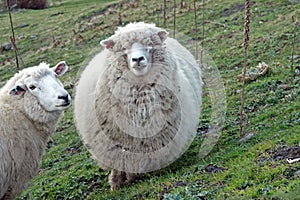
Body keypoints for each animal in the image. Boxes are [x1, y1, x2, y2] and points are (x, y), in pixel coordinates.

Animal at [74, 21, 203, 189]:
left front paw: (133, 177)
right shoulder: (113, 144)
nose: (138, 59)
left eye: (149, 46)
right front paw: (115, 183)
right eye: (124, 49)